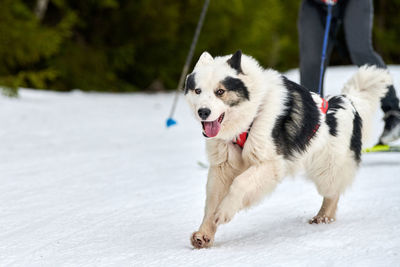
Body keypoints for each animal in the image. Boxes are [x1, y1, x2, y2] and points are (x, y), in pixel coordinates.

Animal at [184, 50, 390, 249]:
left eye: (220, 91)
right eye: (198, 90)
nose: (203, 112)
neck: (252, 114)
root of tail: (348, 102)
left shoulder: (271, 164)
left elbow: (239, 184)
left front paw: (224, 212)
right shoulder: (222, 167)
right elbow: (211, 202)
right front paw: (204, 234)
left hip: (327, 171)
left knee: (333, 194)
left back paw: (323, 217)